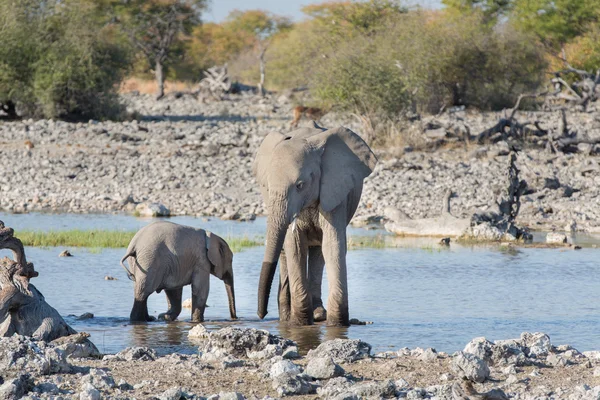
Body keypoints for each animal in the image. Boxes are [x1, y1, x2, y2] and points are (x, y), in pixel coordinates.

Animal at [254, 122, 378, 324]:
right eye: (268, 187)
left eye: (300, 185)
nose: (260, 314)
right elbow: (295, 246)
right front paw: (300, 322)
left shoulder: (334, 190)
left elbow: (332, 244)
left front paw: (337, 323)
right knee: (285, 251)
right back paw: (287, 317)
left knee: (318, 251)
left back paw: (318, 314)